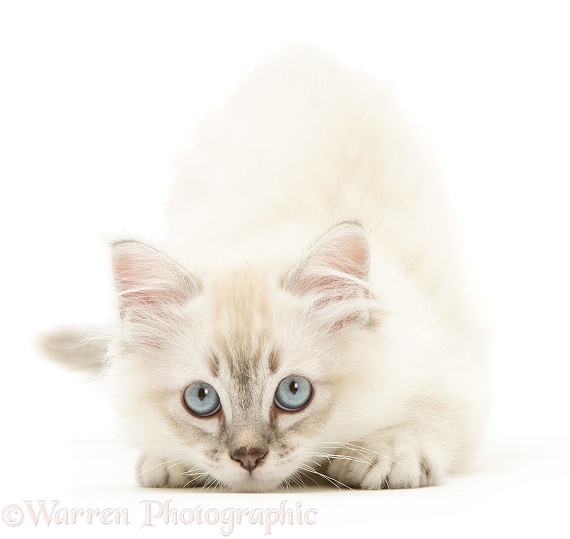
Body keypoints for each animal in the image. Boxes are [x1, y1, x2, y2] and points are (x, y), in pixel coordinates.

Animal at [43, 47, 488, 494]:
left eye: (293, 391)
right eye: (201, 398)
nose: (248, 457)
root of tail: (302, 58)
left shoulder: (454, 372)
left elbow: (432, 414)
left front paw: (389, 452)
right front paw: (170, 459)